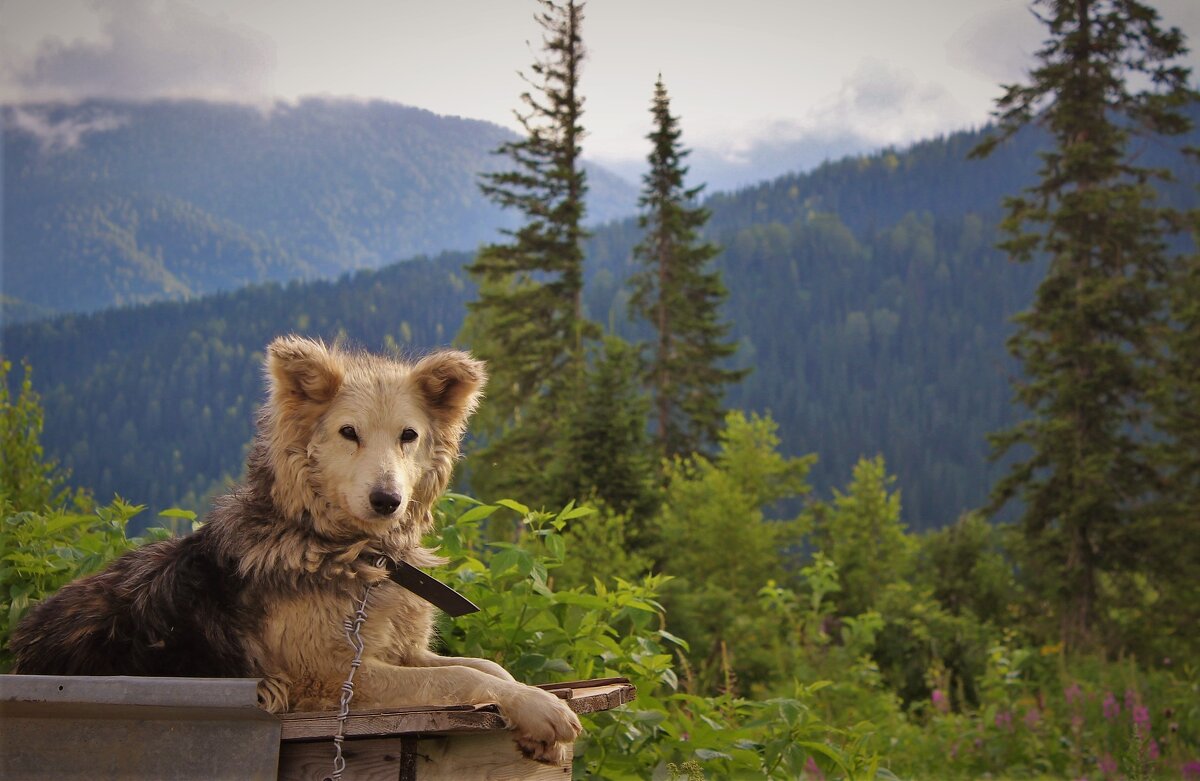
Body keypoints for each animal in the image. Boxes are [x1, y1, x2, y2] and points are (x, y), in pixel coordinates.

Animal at [9, 335, 580, 763]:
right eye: (348, 432)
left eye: (408, 436)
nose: (387, 500)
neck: (359, 558)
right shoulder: (330, 678)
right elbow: (459, 677)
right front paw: (542, 710)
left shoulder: (402, 652)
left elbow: (487, 668)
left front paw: (532, 714)